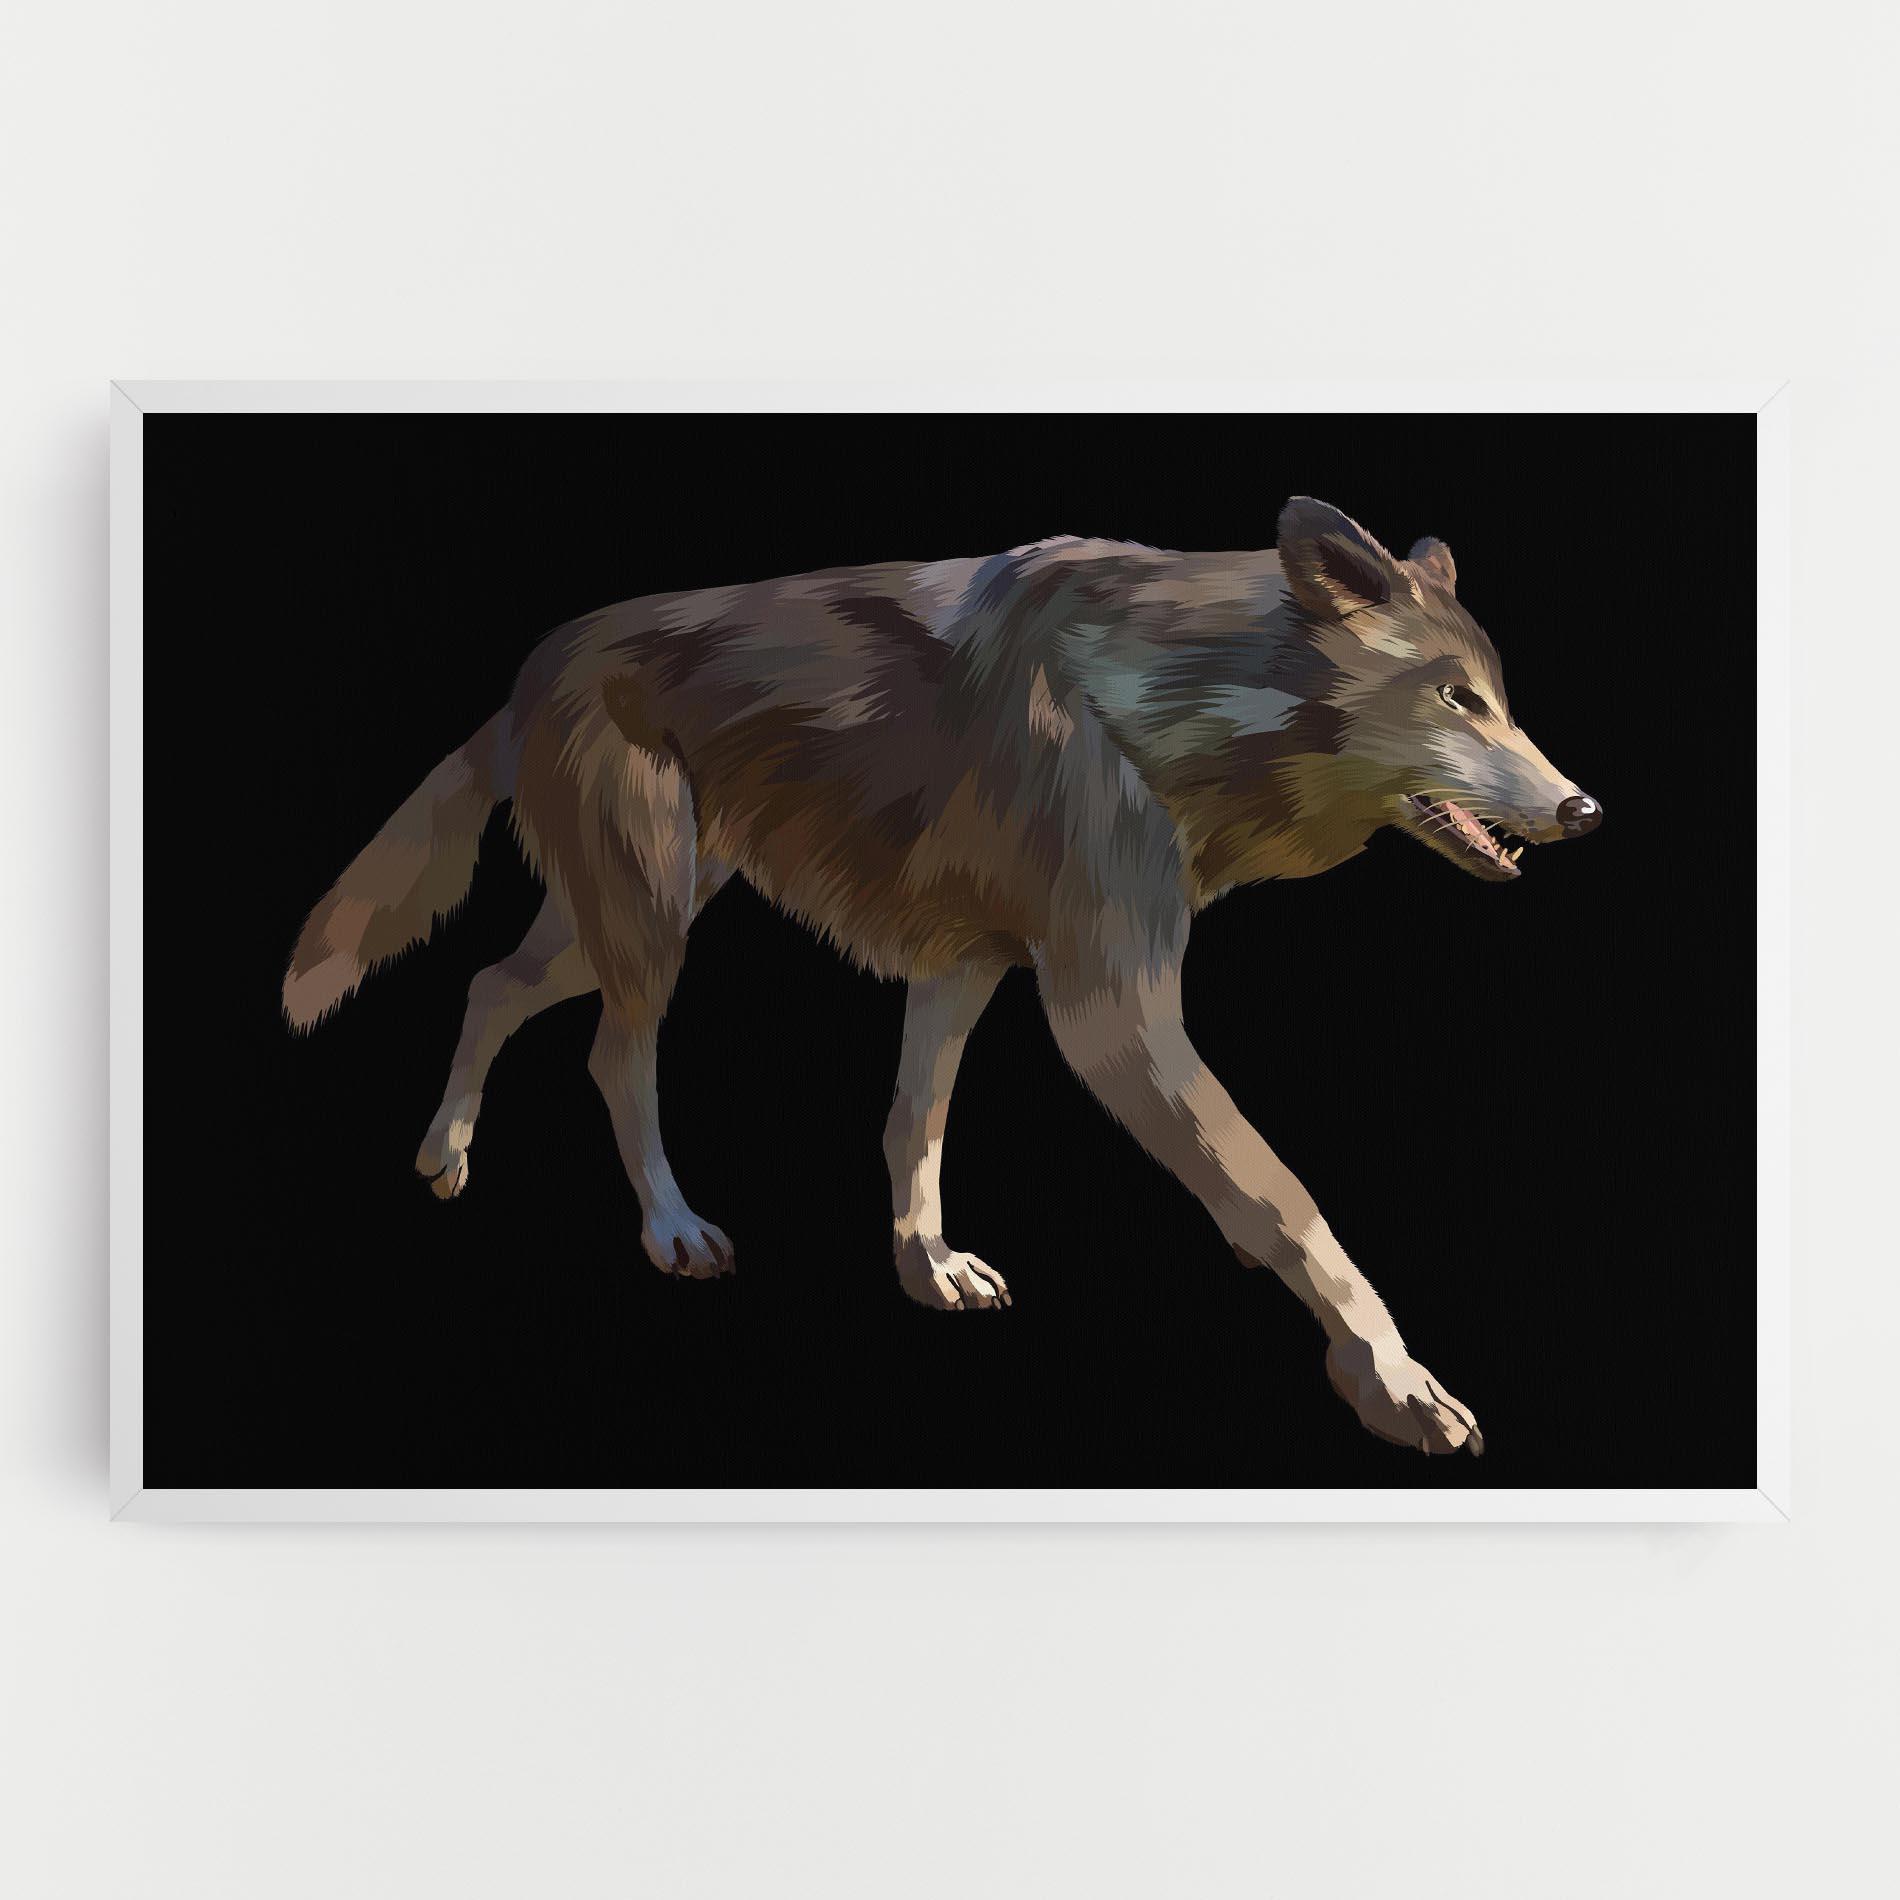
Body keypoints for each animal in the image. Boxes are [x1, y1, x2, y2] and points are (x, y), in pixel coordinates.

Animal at [283, 496, 1600, 1454]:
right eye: (1456, 698)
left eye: (1503, 701)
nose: (1584, 809)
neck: (1166, 705)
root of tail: (534, 658)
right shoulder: (1108, 1012)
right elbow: (1285, 1200)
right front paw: (1394, 1382)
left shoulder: (962, 966)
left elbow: (913, 1124)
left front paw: (926, 1268)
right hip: (649, 925)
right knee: (612, 1054)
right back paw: (670, 1228)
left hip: (620, 919)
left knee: (489, 984)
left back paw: (444, 1155)